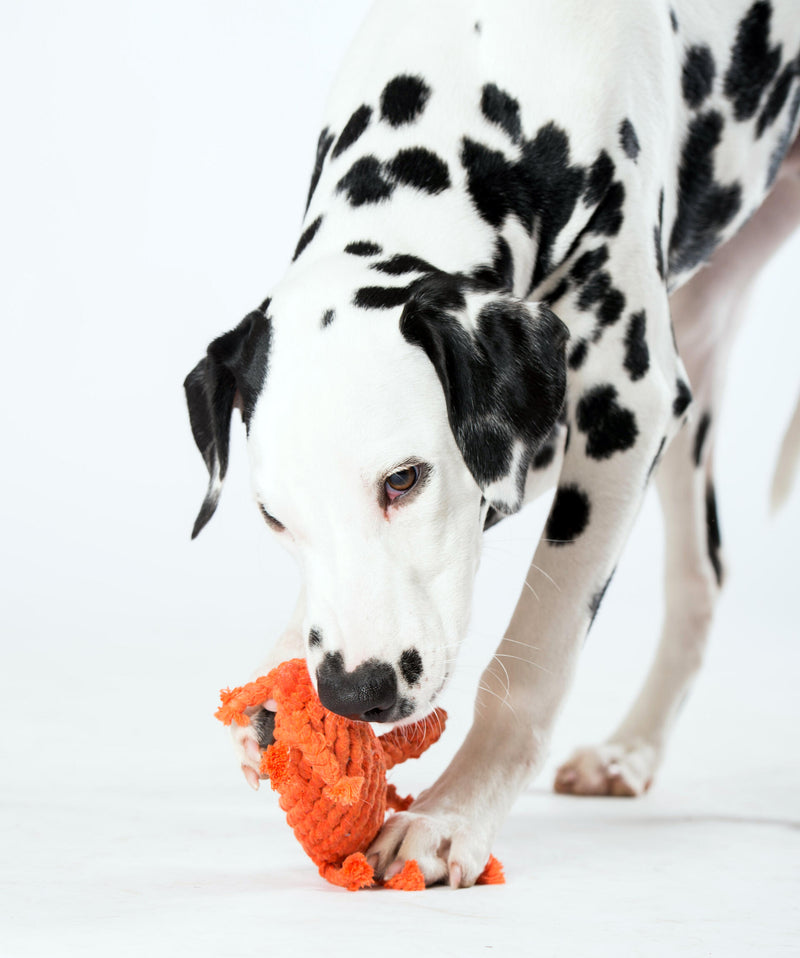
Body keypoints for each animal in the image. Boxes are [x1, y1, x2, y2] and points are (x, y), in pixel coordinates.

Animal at [184, 0, 800, 888]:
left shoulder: (628, 409)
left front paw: (451, 818)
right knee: (700, 576)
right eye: (274, 519)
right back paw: (631, 751)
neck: (491, 62)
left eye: (404, 479)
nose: (355, 693)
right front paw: (279, 674)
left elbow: (531, 662)